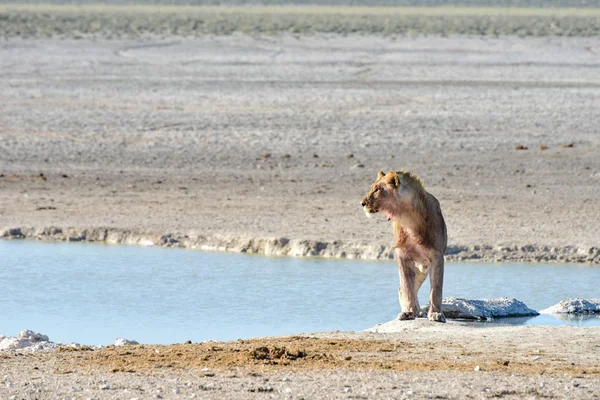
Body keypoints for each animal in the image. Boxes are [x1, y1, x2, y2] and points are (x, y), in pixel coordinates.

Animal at [360, 170, 446, 322]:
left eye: (377, 190)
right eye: (372, 188)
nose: (362, 203)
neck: (408, 218)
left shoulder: (437, 257)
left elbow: (436, 289)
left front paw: (436, 314)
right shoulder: (403, 256)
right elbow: (407, 287)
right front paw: (409, 312)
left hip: (423, 269)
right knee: (403, 289)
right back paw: (416, 311)